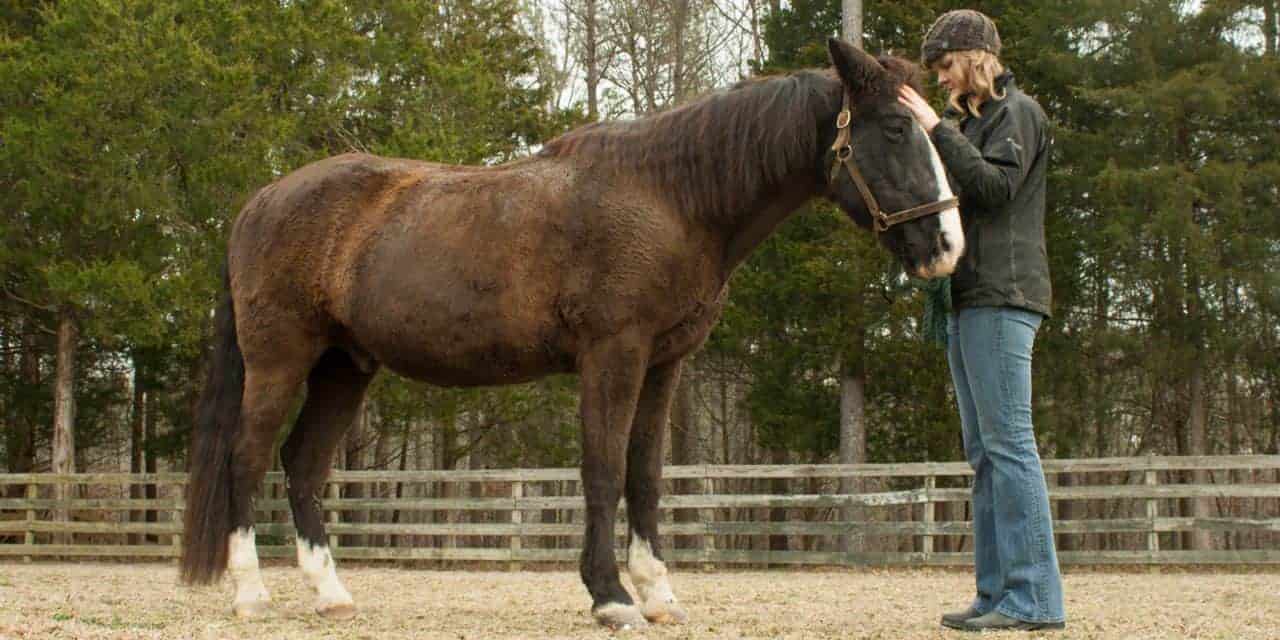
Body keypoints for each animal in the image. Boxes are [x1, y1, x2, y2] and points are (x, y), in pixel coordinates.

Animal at [179, 38, 962, 629]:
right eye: (896, 130)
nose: (947, 245)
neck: (673, 198)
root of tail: (259, 202)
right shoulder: (613, 353)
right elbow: (604, 469)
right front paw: (611, 597)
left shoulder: (664, 363)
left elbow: (645, 475)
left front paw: (658, 592)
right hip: (281, 359)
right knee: (247, 459)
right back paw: (252, 593)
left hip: (346, 365)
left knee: (303, 465)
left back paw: (332, 594)